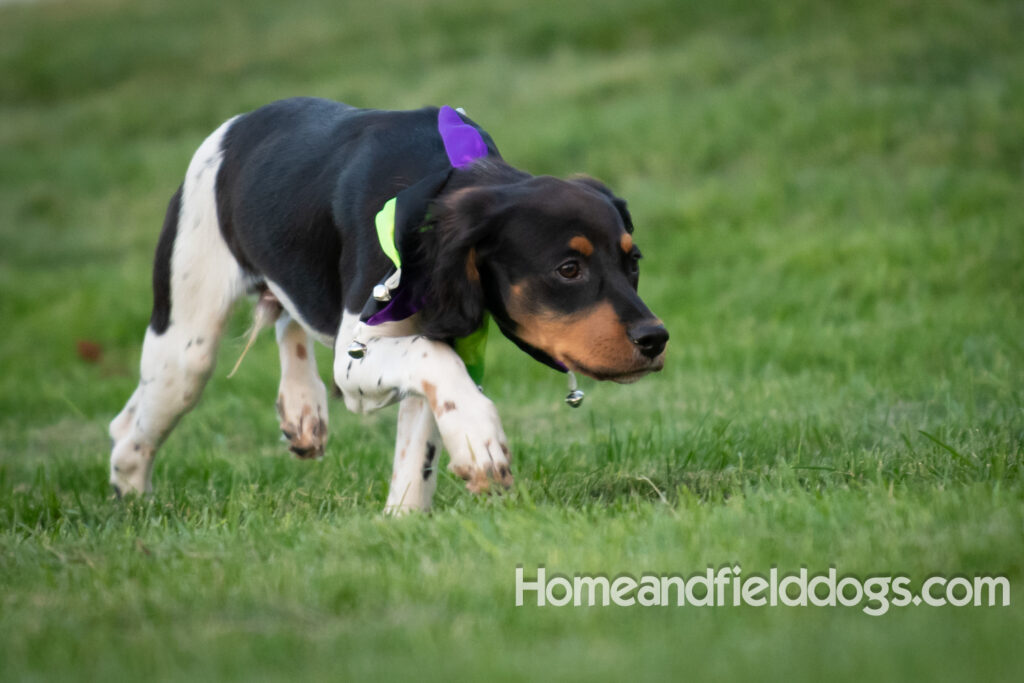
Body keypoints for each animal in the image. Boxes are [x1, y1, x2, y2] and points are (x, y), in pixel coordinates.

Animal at [112, 97, 667, 511]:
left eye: (633, 262)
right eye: (568, 269)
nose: (656, 339)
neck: (443, 181)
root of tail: (236, 124)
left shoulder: (437, 333)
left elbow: (418, 444)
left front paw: (403, 520)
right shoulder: (357, 356)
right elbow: (433, 362)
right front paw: (479, 439)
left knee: (288, 317)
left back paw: (302, 408)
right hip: (186, 345)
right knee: (129, 428)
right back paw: (131, 501)